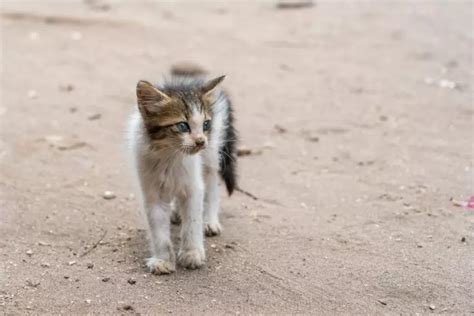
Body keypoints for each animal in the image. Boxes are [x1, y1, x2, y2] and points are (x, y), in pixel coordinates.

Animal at [127, 67, 236, 274]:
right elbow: (158, 229)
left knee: (212, 185)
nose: (200, 141)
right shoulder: (152, 192)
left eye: (206, 124)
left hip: (211, 155)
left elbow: (192, 222)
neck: (170, 156)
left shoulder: (193, 186)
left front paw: (191, 254)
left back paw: (209, 221)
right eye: (182, 126)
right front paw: (163, 260)